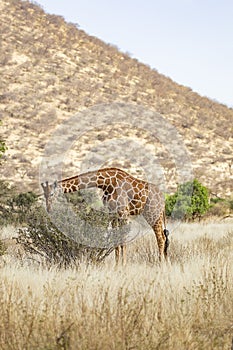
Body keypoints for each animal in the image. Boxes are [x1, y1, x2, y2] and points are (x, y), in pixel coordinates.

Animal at [41, 168, 169, 264]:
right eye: (44, 195)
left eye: (51, 194)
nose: (48, 209)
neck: (106, 183)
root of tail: (162, 198)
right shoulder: (112, 214)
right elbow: (116, 242)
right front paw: (117, 267)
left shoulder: (124, 212)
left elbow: (123, 241)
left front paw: (124, 265)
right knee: (164, 237)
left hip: (153, 214)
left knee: (161, 238)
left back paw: (161, 264)